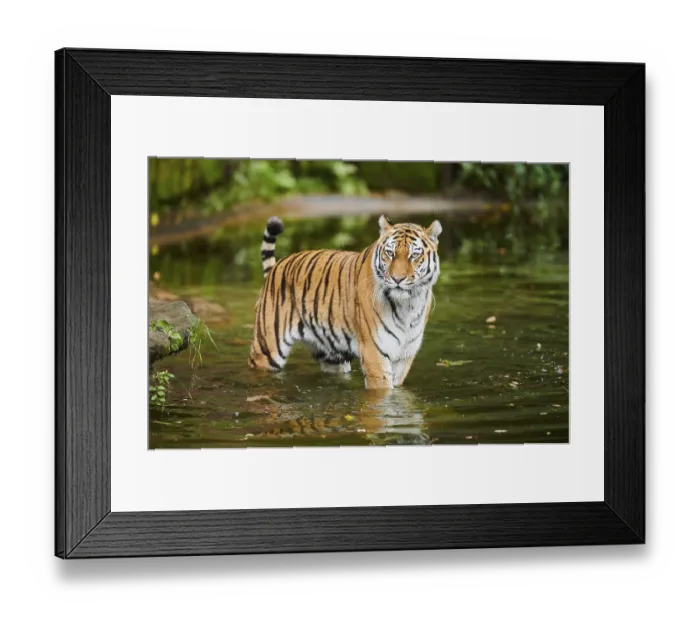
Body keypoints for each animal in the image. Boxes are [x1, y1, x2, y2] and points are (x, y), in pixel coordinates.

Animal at [249, 214, 442, 390]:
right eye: (390, 253)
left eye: (414, 255)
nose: (397, 279)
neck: (408, 306)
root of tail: (277, 266)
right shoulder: (374, 353)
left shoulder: (405, 356)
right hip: (266, 349)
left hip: (331, 355)